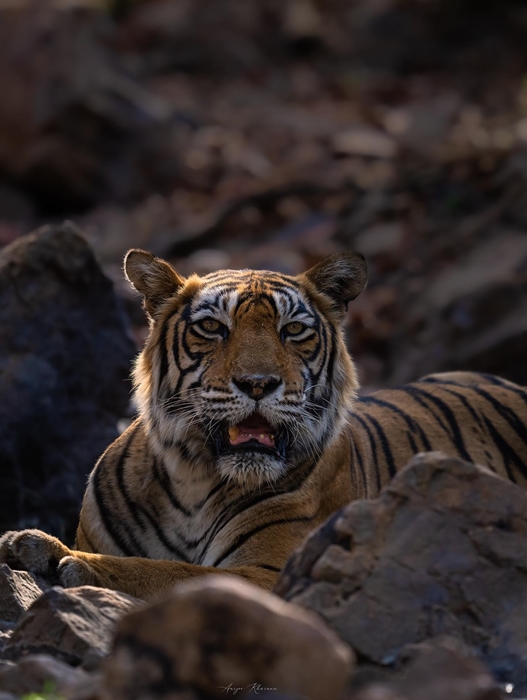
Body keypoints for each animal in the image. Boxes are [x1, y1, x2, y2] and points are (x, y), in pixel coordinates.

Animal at [1, 249, 527, 599]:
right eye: (212, 327)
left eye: (292, 330)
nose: (258, 384)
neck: (194, 481)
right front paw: (33, 546)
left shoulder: (271, 573)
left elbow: (167, 571)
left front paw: (63, 560)